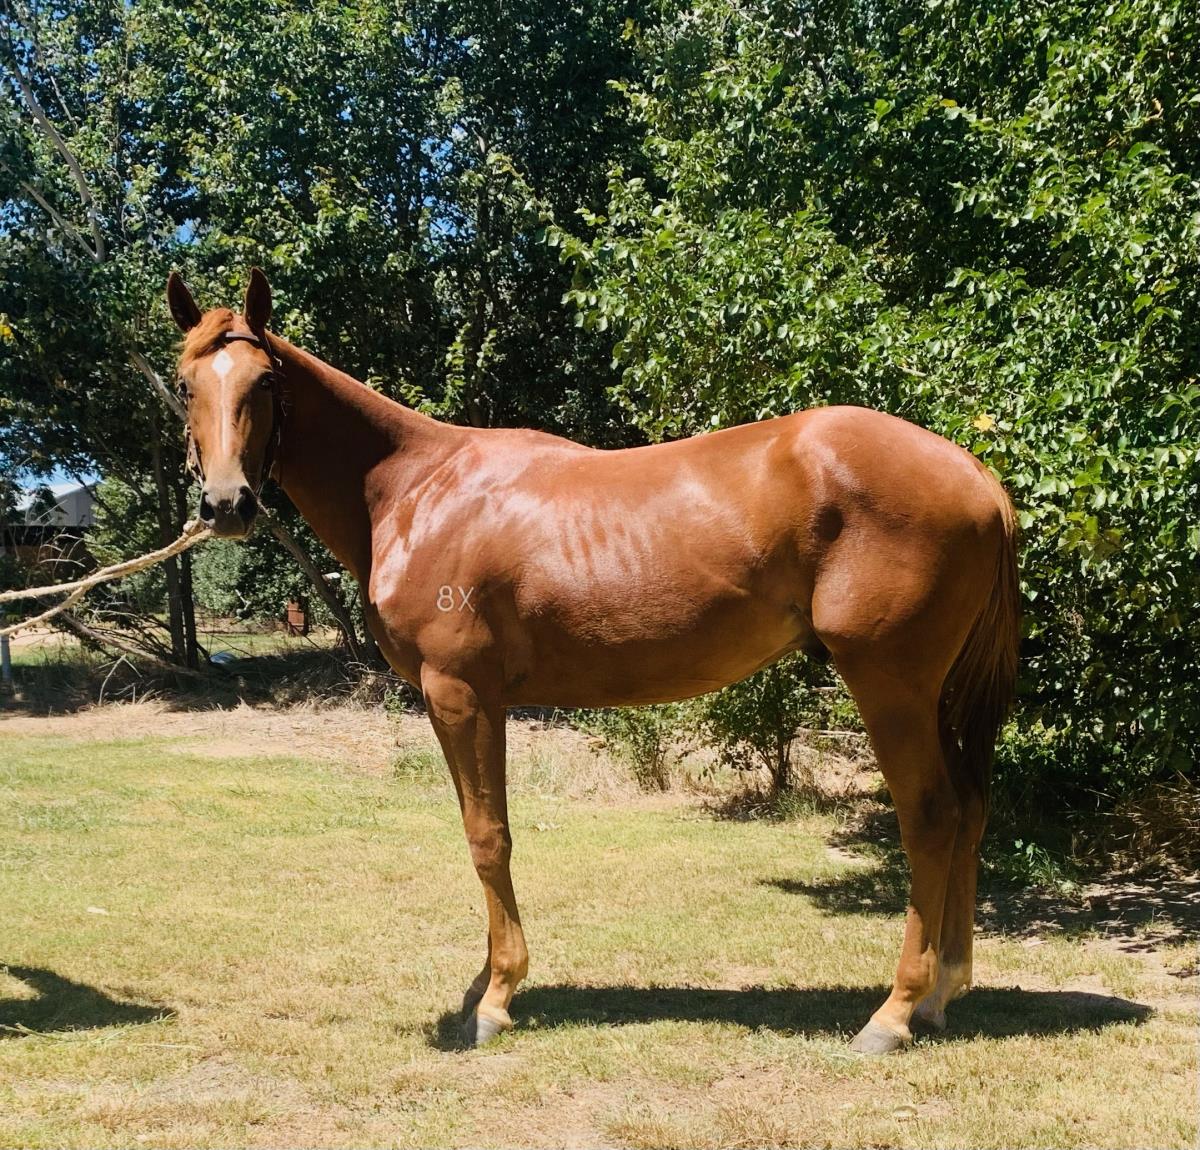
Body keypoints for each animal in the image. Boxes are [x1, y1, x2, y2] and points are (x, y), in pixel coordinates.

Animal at [167, 268, 1019, 1054]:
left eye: (265, 382)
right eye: (184, 384)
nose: (226, 505)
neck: (417, 489)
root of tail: (972, 471)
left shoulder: (460, 695)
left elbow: (489, 838)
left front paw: (495, 1000)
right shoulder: (465, 704)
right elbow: (483, 831)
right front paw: (486, 981)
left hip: (889, 685)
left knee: (932, 818)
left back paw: (895, 1013)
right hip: (931, 694)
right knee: (971, 809)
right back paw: (943, 994)